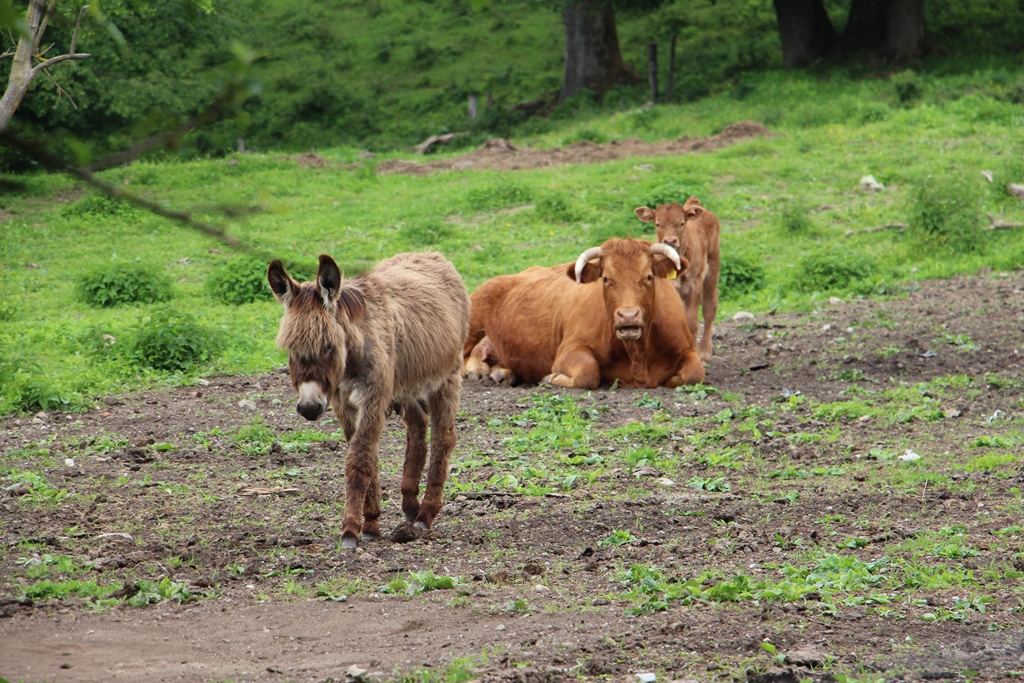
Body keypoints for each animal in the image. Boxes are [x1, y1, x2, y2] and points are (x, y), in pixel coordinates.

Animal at [266, 252, 468, 548]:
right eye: (291, 349)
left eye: (328, 347)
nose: (309, 408)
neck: (351, 359)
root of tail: (431, 254)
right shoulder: (344, 404)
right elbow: (368, 457)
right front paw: (371, 523)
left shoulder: (373, 399)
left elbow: (359, 458)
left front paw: (350, 530)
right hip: (404, 387)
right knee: (418, 425)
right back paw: (410, 503)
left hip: (446, 378)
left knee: (444, 437)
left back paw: (425, 514)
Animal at [464, 237, 704, 389]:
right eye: (606, 279)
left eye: (648, 277)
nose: (628, 316)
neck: (638, 355)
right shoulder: (568, 351)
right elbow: (588, 373)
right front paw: (551, 378)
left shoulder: (687, 347)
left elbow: (694, 373)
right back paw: (477, 370)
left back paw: (503, 373)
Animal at [630, 194, 720, 360]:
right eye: (658, 224)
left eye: (681, 223)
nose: (670, 241)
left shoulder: (694, 284)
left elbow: (692, 322)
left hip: (712, 266)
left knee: (710, 305)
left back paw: (704, 351)